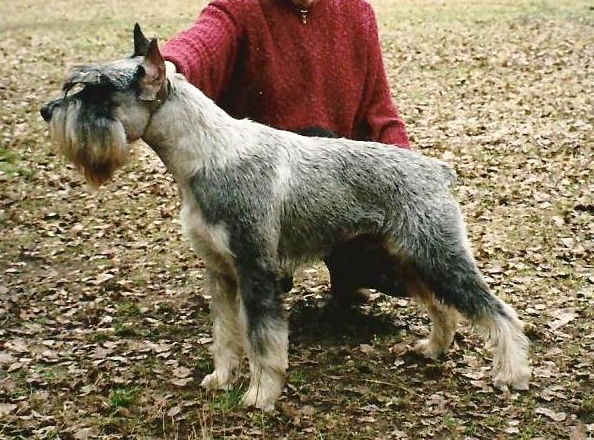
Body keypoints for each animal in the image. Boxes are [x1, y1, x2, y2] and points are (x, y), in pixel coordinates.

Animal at [41, 24, 528, 410]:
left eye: (97, 90)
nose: (47, 110)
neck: (205, 156)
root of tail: (437, 170)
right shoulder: (220, 272)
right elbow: (226, 335)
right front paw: (221, 379)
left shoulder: (256, 270)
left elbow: (263, 342)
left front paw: (260, 395)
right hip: (406, 259)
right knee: (442, 307)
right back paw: (432, 348)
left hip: (438, 256)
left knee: (497, 311)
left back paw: (512, 373)